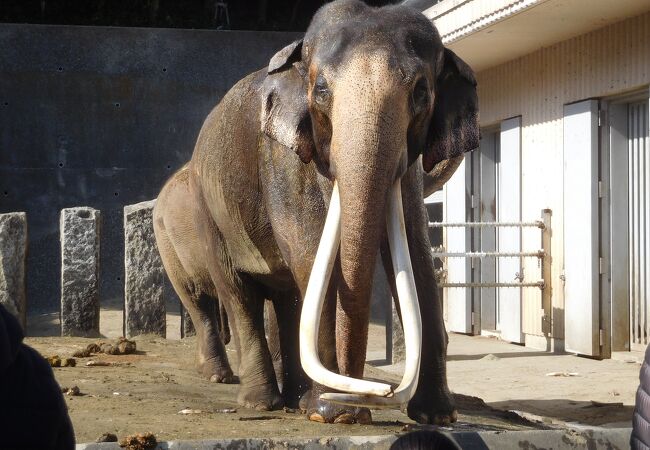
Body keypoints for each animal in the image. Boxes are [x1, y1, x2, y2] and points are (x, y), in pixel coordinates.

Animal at [152, 0, 476, 426]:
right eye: (320, 90)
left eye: (422, 92)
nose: (366, 402)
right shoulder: (281, 158)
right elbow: (310, 254)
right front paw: (330, 413)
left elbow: (418, 258)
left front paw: (437, 416)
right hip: (203, 214)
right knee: (230, 294)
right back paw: (254, 398)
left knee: (284, 298)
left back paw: (294, 399)